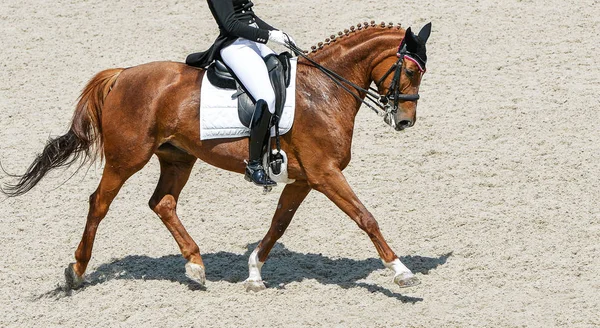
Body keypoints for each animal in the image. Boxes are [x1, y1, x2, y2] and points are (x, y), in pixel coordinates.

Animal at [1, 21, 432, 290]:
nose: (405, 121)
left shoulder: (303, 179)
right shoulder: (325, 174)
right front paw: (401, 271)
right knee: (99, 203)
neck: (324, 90)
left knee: (162, 203)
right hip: (128, 158)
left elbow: (279, 224)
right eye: (411, 72)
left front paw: (254, 274)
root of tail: (122, 75)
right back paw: (76, 271)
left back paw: (195, 265)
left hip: (178, 157)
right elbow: (366, 218)